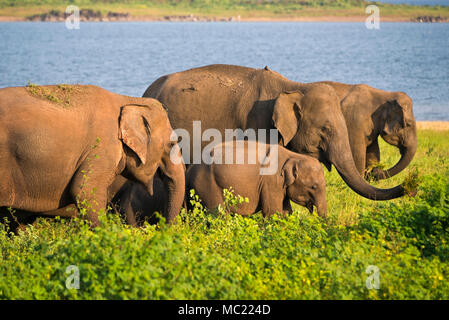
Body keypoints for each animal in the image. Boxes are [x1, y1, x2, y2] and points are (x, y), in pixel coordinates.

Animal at [185, 141, 326, 218]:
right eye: (313, 187)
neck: (292, 156)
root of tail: (189, 168)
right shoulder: (271, 181)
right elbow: (272, 212)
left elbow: (286, 211)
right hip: (207, 184)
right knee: (218, 214)